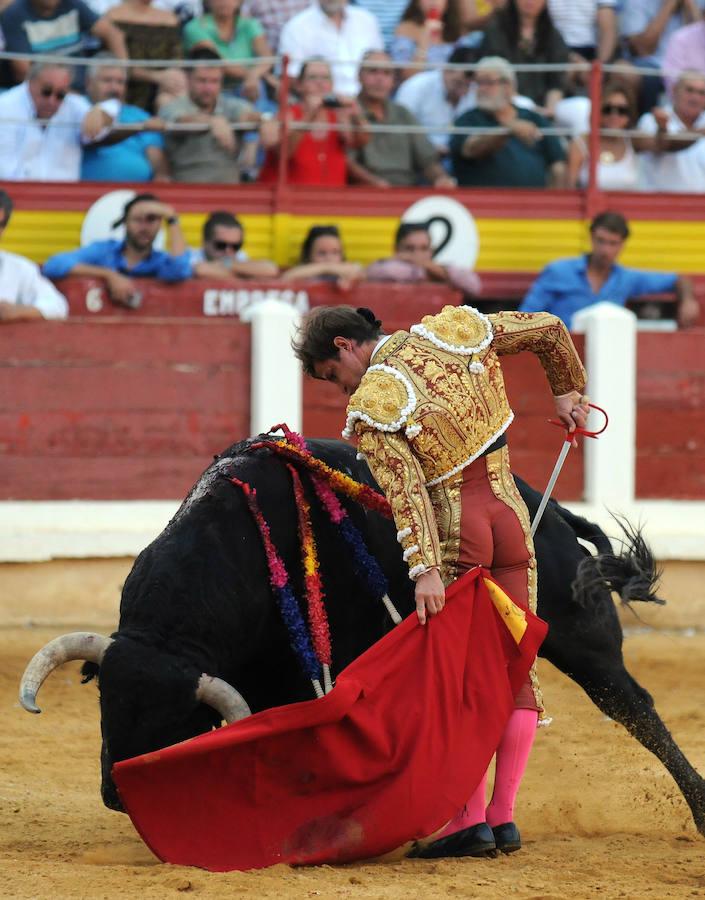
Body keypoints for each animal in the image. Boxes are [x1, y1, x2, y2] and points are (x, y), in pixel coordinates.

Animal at [19, 436, 704, 836]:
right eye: (105, 704)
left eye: (174, 721)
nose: (115, 794)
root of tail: (552, 508)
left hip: (579, 635)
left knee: (633, 707)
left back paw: (696, 806)